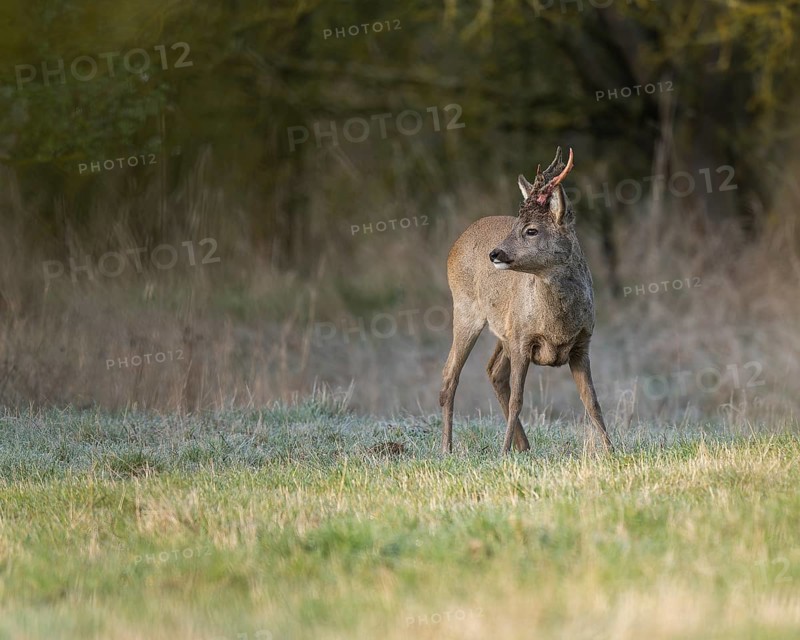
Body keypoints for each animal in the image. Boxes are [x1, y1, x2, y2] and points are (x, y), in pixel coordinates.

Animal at [439, 147, 613, 454]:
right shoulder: (522, 340)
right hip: (466, 308)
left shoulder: (582, 344)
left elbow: (592, 402)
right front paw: (502, 453)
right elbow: (518, 400)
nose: (495, 253)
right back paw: (447, 449)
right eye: (517, 226)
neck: (557, 324)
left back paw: (525, 447)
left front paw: (613, 450)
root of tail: (458, 241)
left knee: (493, 371)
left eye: (531, 230)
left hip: (504, 329)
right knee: (450, 375)